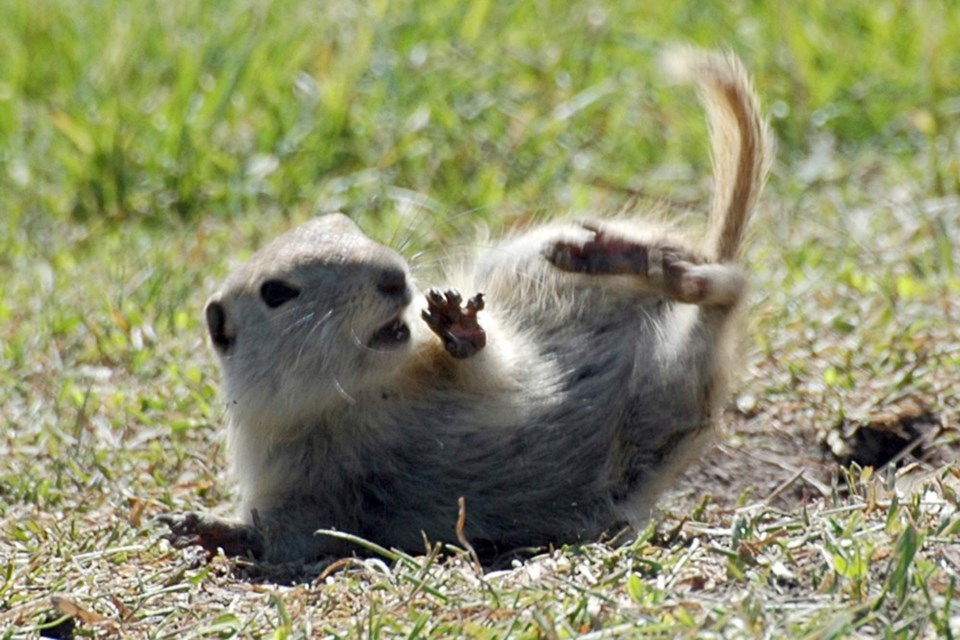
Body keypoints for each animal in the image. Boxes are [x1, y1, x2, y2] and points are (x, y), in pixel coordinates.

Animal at [158, 47, 772, 564]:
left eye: (347, 222)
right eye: (276, 292)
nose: (394, 277)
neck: (357, 401)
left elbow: (492, 364)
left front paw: (457, 324)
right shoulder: (293, 484)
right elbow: (287, 536)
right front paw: (201, 527)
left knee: (711, 269)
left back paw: (612, 254)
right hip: (671, 397)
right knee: (722, 292)